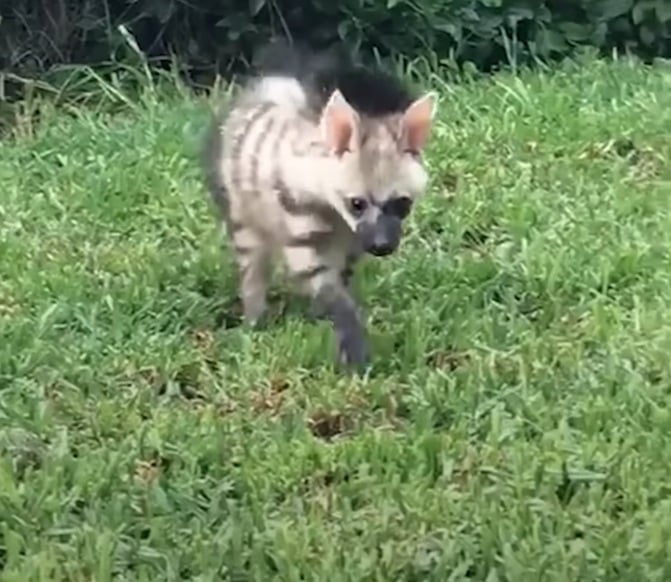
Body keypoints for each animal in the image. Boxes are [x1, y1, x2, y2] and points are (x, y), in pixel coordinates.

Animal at [202, 38, 436, 372]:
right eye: (357, 203)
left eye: (401, 203)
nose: (381, 246)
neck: (336, 217)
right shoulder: (301, 226)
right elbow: (327, 288)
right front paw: (354, 352)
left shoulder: (353, 245)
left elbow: (340, 283)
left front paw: (324, 322)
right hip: (241, 213)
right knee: (251, 266)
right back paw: (253, 322)